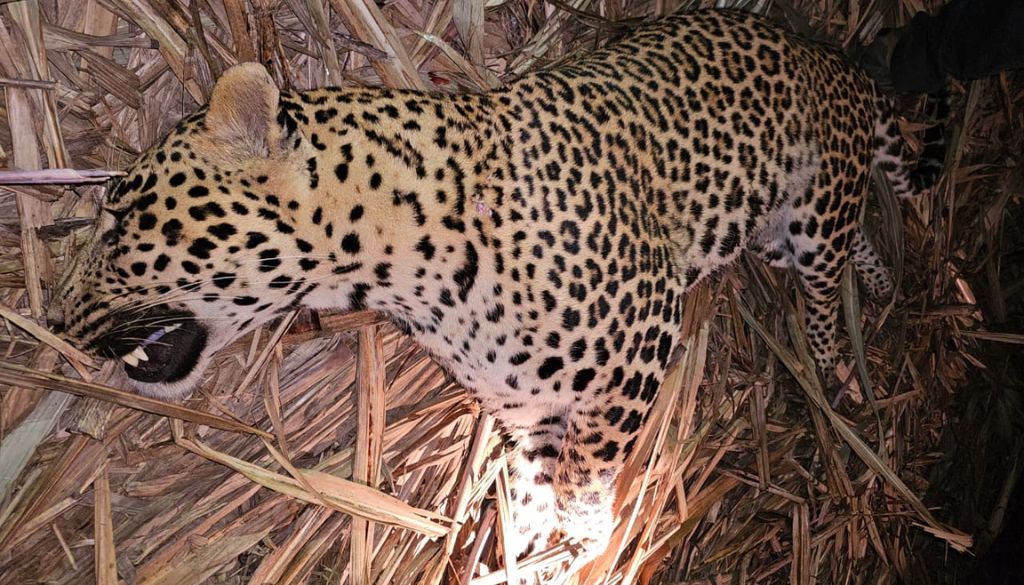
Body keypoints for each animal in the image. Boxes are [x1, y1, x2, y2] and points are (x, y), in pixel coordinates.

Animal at [53, 8, 946, 578]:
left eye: (121, 220)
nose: (61, 319)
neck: (402, 270)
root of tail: (836, 62)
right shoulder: (524, 406)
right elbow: (529, 490)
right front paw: (528, 549)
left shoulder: (636, 347)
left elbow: (584, 487)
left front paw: (588, 542)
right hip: (772, 228)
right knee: (856, 238)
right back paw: (883, 280)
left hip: (812, 207)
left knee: (826, 283)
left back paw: (838, 365)